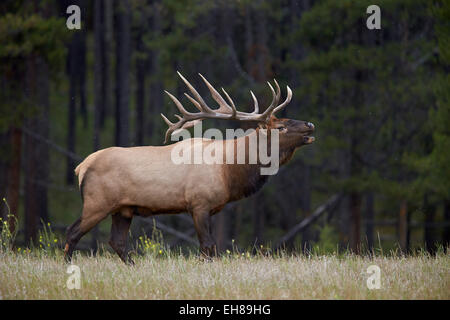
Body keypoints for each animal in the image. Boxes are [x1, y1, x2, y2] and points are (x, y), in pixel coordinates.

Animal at [65, 73, 314, 264]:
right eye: (281, 127)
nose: (309, 124)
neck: (229, 171)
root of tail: (81, 167)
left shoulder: (210, 208)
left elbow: (210, 248)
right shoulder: (199, 203)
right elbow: (208, 246)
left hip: (123, 209)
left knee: (116, 241)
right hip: (97, 202)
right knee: (73, 232)